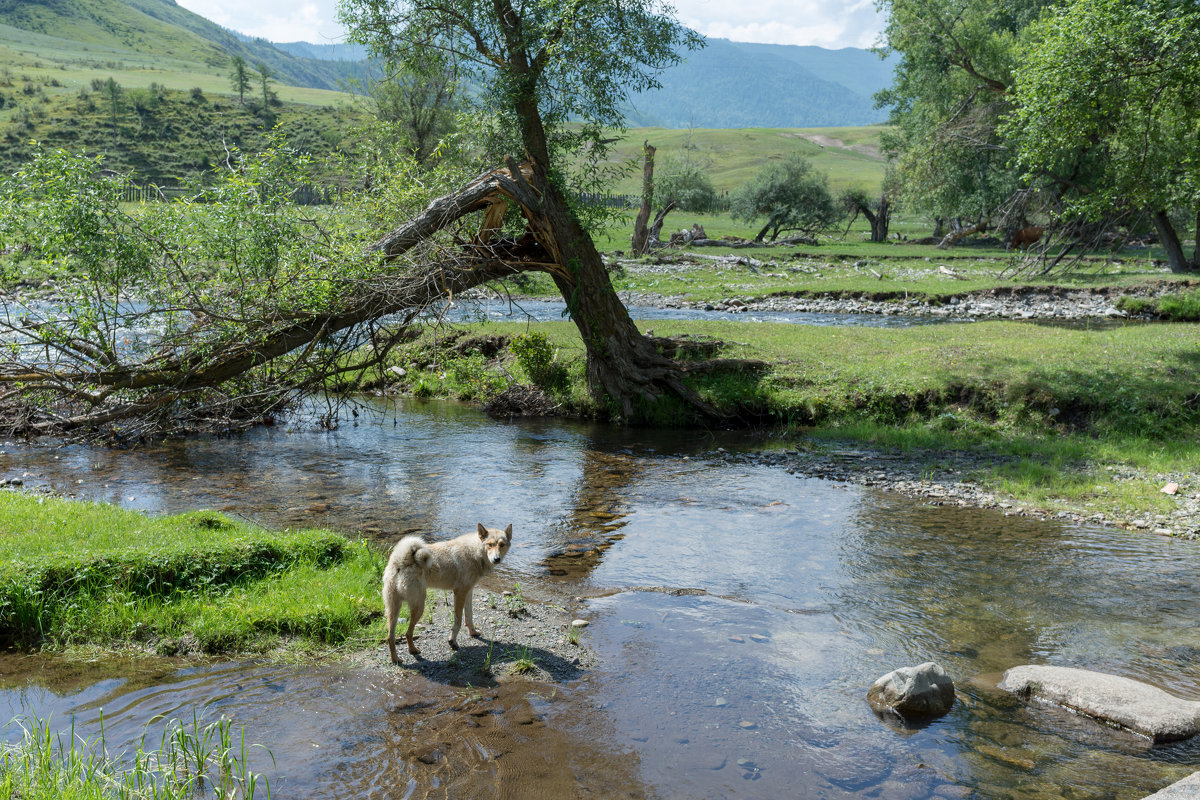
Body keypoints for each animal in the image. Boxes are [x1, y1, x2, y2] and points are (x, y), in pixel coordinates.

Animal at [381, 525, 513, 662]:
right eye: (490, 545)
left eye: (502, 545)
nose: (496, 559)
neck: (474, 551)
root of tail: (401, 559)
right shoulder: (460, 593)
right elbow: (458, 622)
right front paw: (452, 642)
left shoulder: (468, 592)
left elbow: (469, 617)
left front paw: (473, 633)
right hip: (419, 606)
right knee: (408, 633)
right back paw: (413, 650)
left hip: (394, 609)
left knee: (390, 637)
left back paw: (396, 659)